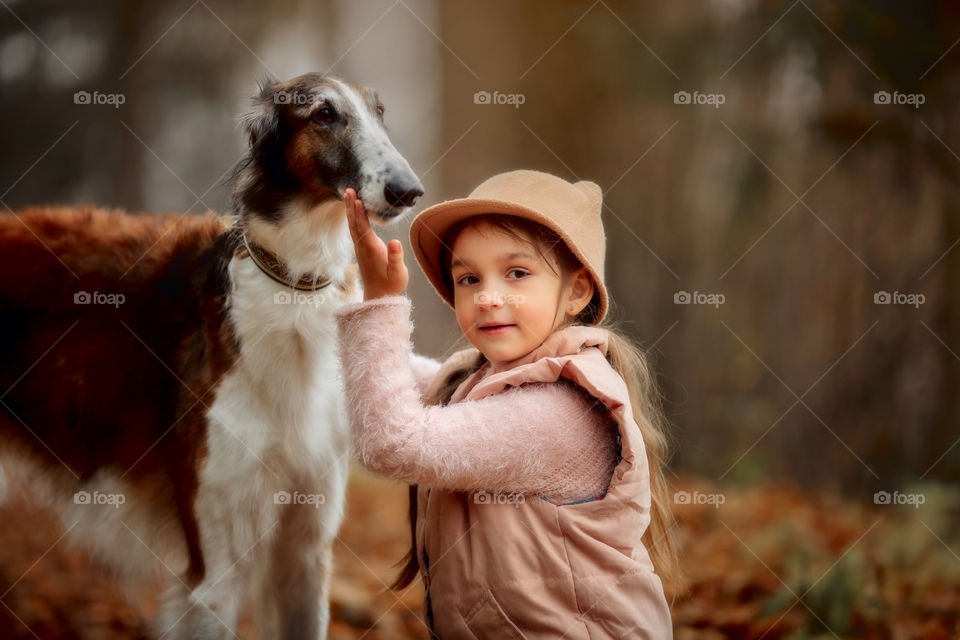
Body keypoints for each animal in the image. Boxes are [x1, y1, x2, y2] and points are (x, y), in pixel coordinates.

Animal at [0, 72, 424, 636]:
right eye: (324, 114)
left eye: (379, 112)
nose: (409, 191)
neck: (292, 288)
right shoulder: (215, 569)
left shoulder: (303, 554)